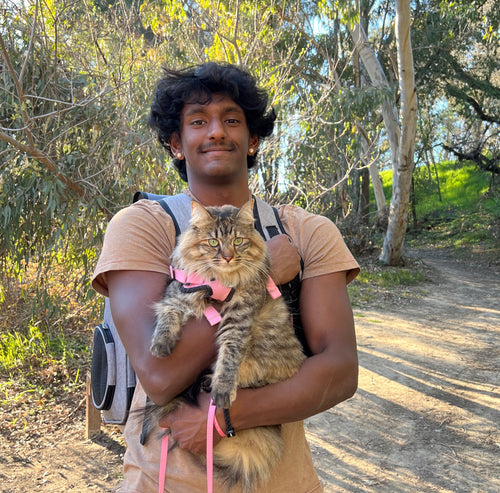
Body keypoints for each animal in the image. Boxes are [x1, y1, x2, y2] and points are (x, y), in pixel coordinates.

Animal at [148, 198, 304, 490]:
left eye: (238, 241)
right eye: (212, 243)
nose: (229, 257)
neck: (215, 284)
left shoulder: (238, 320)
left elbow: (229, 356)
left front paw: (222, 388)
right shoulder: (177, 293)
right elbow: (168, 315)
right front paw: (161, 344)